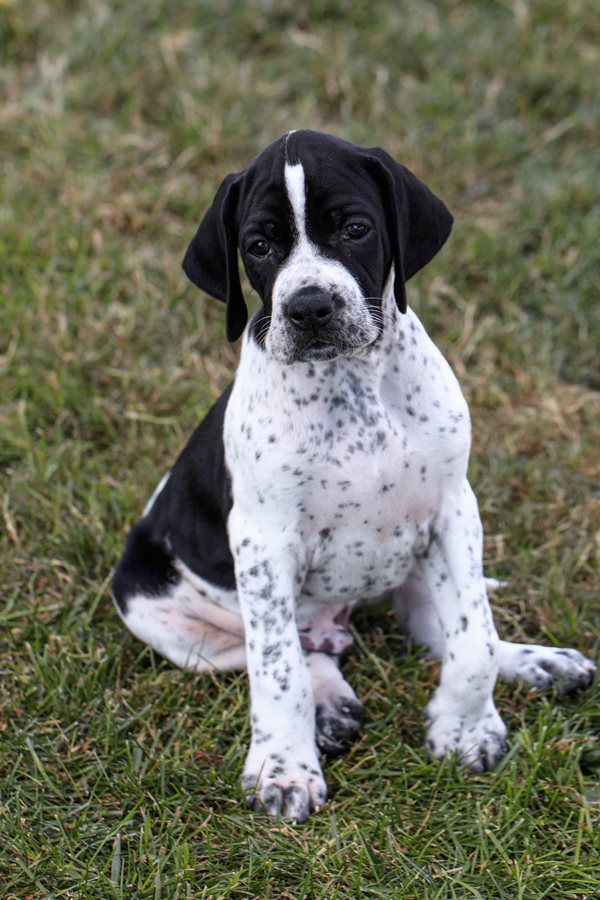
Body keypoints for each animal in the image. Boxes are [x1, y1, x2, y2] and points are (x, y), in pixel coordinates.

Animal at [112, 128, 596, 824]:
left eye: (357, 228)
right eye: (258, 246)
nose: (310, 307)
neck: (350, 386)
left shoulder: (454, 511)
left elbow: (473, 640)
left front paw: (465, 727)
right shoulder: (263, 546)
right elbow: (276, 670)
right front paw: (285, 768)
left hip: (421, 572)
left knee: (441, 632)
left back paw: (539, 663)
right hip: (153, 610)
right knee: (286, 650)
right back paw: (328, 704)